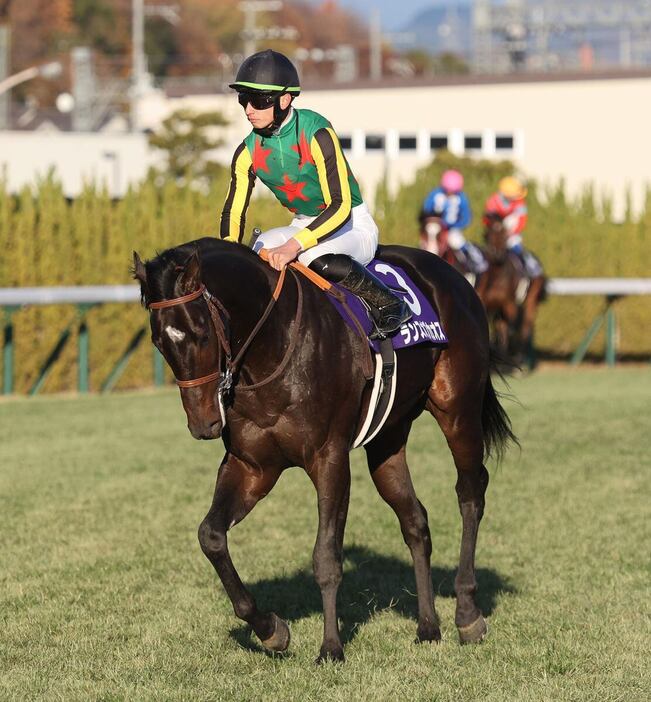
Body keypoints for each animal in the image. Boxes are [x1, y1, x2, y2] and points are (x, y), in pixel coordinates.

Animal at [134, 239, 520, 664]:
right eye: (159, 342)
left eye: (201, 333)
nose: (203, 424)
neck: (275, 344)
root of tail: (454, 275)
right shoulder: (252, 466)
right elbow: (211, 536)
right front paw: (270, 630)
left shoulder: (330, 458)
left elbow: (326, 557)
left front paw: (331, 647)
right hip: (388, 437)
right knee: (415, 520)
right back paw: (428, 627)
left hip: (458, 410)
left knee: (470, 494)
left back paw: (467, 614)